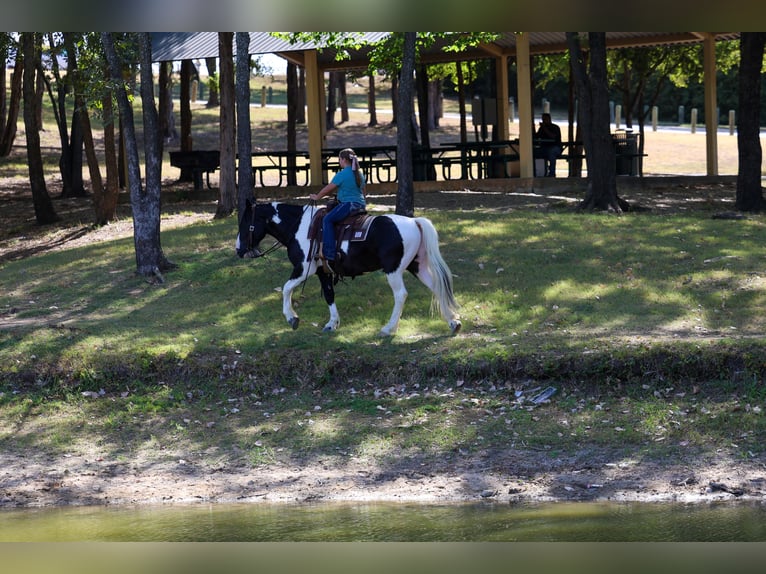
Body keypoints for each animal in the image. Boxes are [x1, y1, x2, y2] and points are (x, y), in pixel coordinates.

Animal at [235, 199, 461, 336]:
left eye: (245, 223)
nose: (239, 250)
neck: (299, 226)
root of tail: (415, 222)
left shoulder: (303, 268)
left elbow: (286, 288)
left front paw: (292, 318)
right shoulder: (322, 272)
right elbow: (329, 295)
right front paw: (331, 323)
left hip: (394, 270)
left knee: (401, 295)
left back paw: (388, 328)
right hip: (417, 266)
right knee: (436, 287)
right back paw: (453, 322)